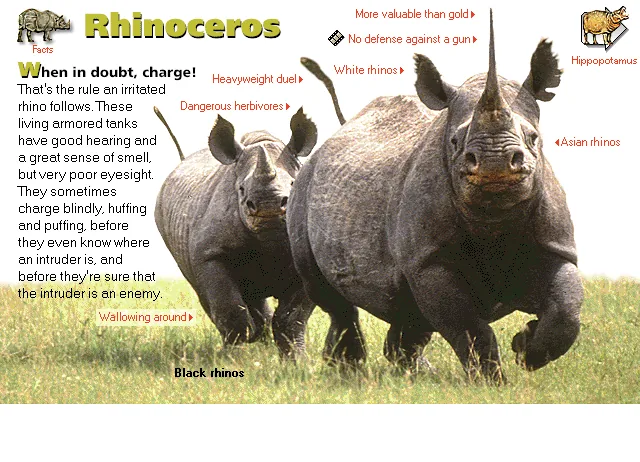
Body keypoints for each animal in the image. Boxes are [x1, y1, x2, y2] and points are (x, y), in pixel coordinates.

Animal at [154, 107, 317, 358]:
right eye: (241, 190)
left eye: (293, 184)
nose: (268, 207)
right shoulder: (210, 253)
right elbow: (230, 310)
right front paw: (234, 359)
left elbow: (292, 319)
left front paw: (297, 360)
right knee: (207, 295)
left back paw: (262, 342)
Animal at [287, 11, 582, 383]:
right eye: (455, 142)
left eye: (533, 138)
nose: (495, 162)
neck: (493, 214)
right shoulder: (429, 259)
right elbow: (467, 327)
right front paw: (491, 382)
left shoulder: (556, 245)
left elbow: (567, 309)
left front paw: (525, 349)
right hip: (303, 187)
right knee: (327, 293)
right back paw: (348, 369)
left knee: (408, 311)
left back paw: (409, 371)